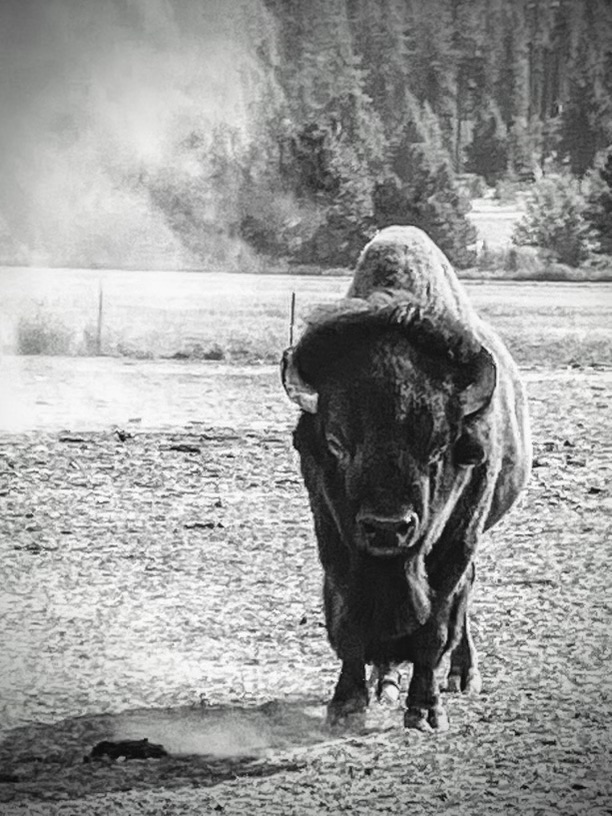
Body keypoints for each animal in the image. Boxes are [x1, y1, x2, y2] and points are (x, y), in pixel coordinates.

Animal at [281, 226, 531, 731]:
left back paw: (461, 675)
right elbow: (348, 620)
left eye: (438, 448)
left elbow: (434, 626)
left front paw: (426, 711)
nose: (387, 527)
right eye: (336, 442)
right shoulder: (335, 539)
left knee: (463, 599)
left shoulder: (455, 542)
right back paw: (386, 682)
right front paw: (347, 703)